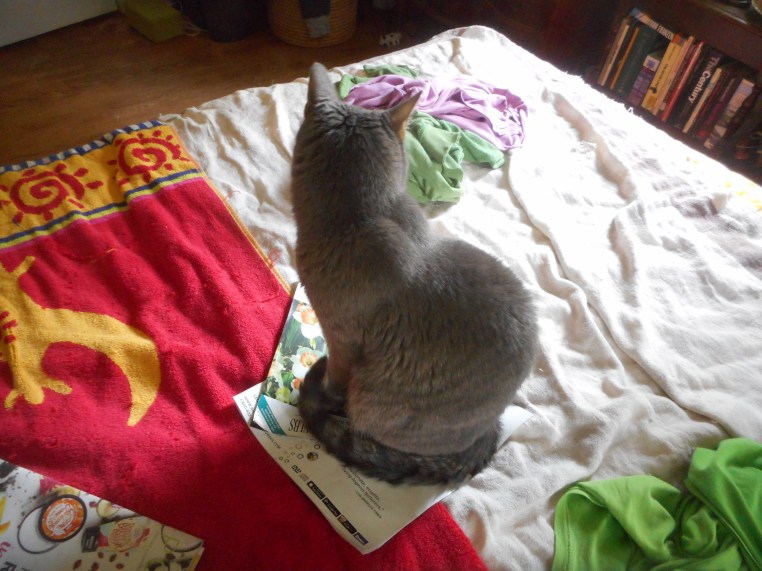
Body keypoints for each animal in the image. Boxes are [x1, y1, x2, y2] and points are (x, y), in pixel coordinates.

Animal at [291, 62, 538, 485]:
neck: (356, 218)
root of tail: (488, 430)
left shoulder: (341, 341)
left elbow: (333, 379)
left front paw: (322, 393)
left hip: (375, 402)